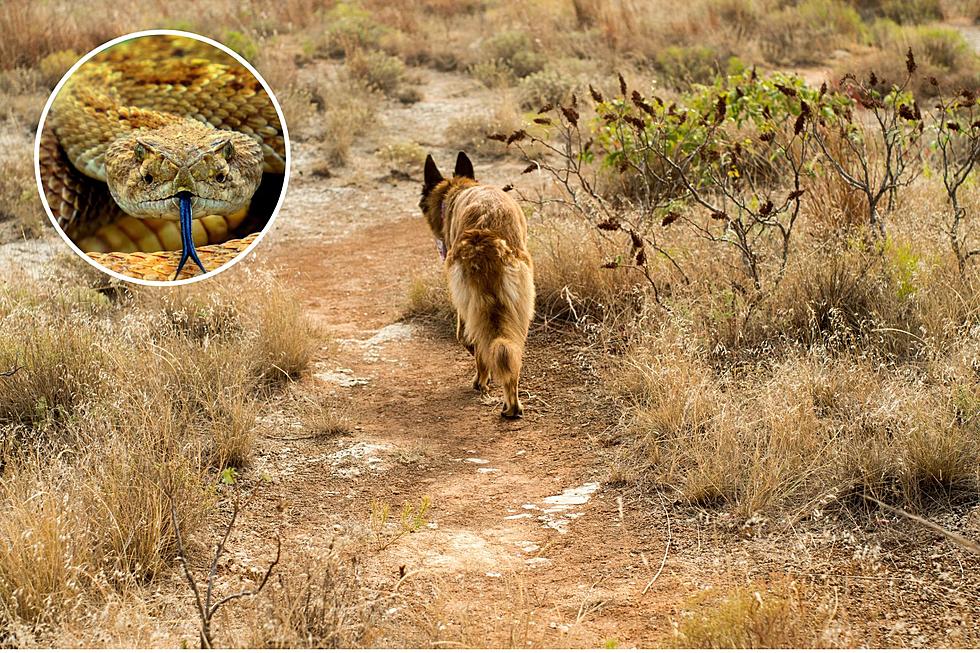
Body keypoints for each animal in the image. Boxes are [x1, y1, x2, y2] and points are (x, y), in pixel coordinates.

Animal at [416, 153, 532, 418]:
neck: (459, 189)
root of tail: (486, 234)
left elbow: (466, 339)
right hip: (519, 310)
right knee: (510, 351)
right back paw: (512, 406)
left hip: (472, 302)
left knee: (482, 342)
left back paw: (485, 383)